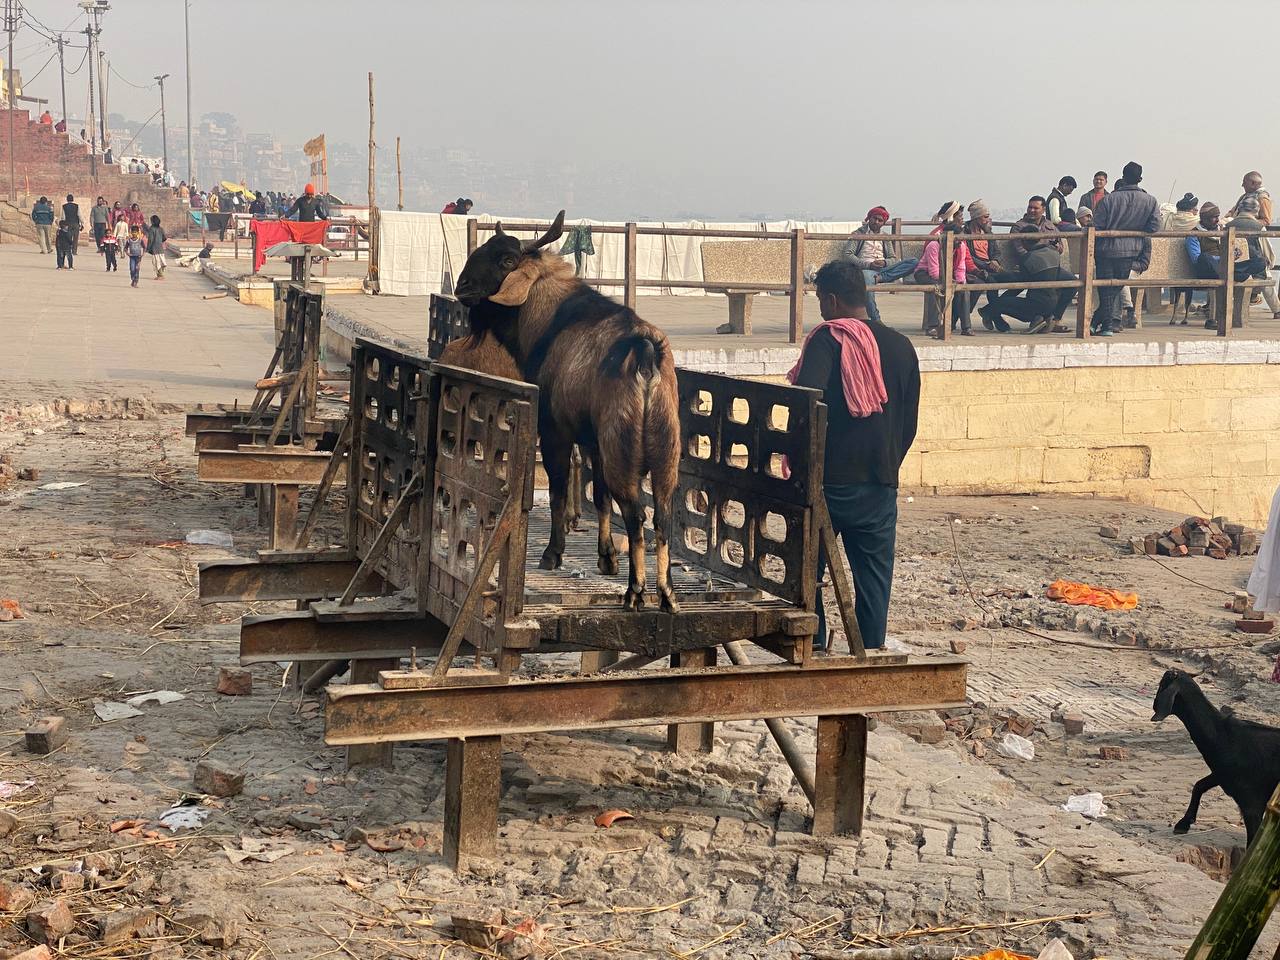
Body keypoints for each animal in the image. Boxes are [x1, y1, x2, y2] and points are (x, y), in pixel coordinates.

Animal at [455, 211, 681, 613]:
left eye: (507, 260)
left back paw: (636, 591)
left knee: (637, 514)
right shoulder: (593, 441)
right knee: (663, 516)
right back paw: (667, 593)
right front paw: (607, 558)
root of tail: (645, 354)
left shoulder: (555, 430)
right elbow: (601, 498)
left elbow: (560, 492)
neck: (544, 320)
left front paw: (552, 553)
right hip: (665, 455)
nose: (460, 286)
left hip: (623, 450)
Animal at [1152, 668, 1280, 844]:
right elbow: (1199, 785)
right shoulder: (1222, 774)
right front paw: (1183, 823)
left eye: (1162, 685)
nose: (1153, 705)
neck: (1223, 736)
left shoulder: (1252, 803)